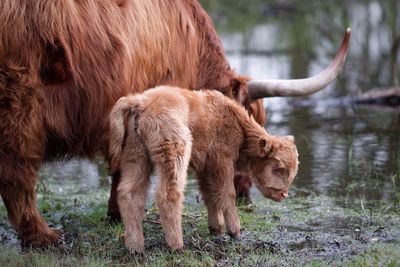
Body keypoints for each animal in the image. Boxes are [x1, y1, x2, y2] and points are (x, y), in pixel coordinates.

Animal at [108, 86, 298, 253]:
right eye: (278, 167)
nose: (284, 194)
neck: (237, 124)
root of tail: (140, 101)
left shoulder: (205, 167)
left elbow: (210, 193)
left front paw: (216, 227)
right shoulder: (222, 160)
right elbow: (227, 193)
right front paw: (235, 231)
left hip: (136, 156)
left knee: (129, 193)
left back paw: (135, 247)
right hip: (174, 152)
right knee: (168, 194)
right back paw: (177, 245)